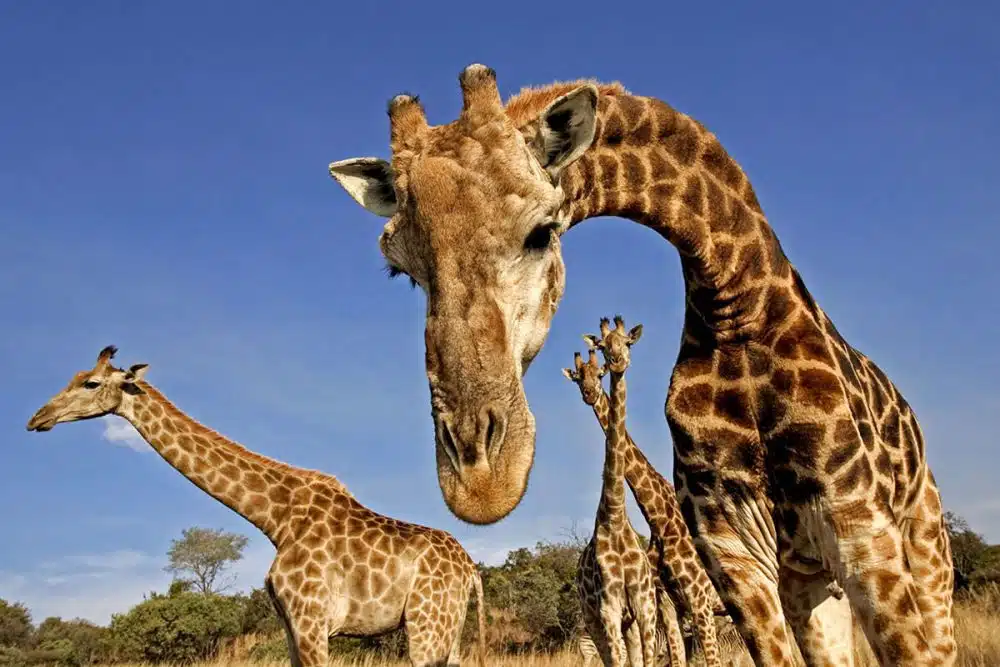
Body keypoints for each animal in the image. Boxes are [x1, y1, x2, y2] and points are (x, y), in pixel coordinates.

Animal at [25, 346, 487, 667]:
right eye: (75, 376)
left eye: (90, 383)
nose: (36, 418)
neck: (276, 519)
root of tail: (470, 570)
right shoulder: (290, 623)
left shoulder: (312, 619)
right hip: (447, 631)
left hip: (427, 626)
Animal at [564, 344, 723, 667]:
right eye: (577, 377)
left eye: (599, 373)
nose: (589, 393)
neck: (660, 520)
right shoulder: (667, 602)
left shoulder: (698, 599)